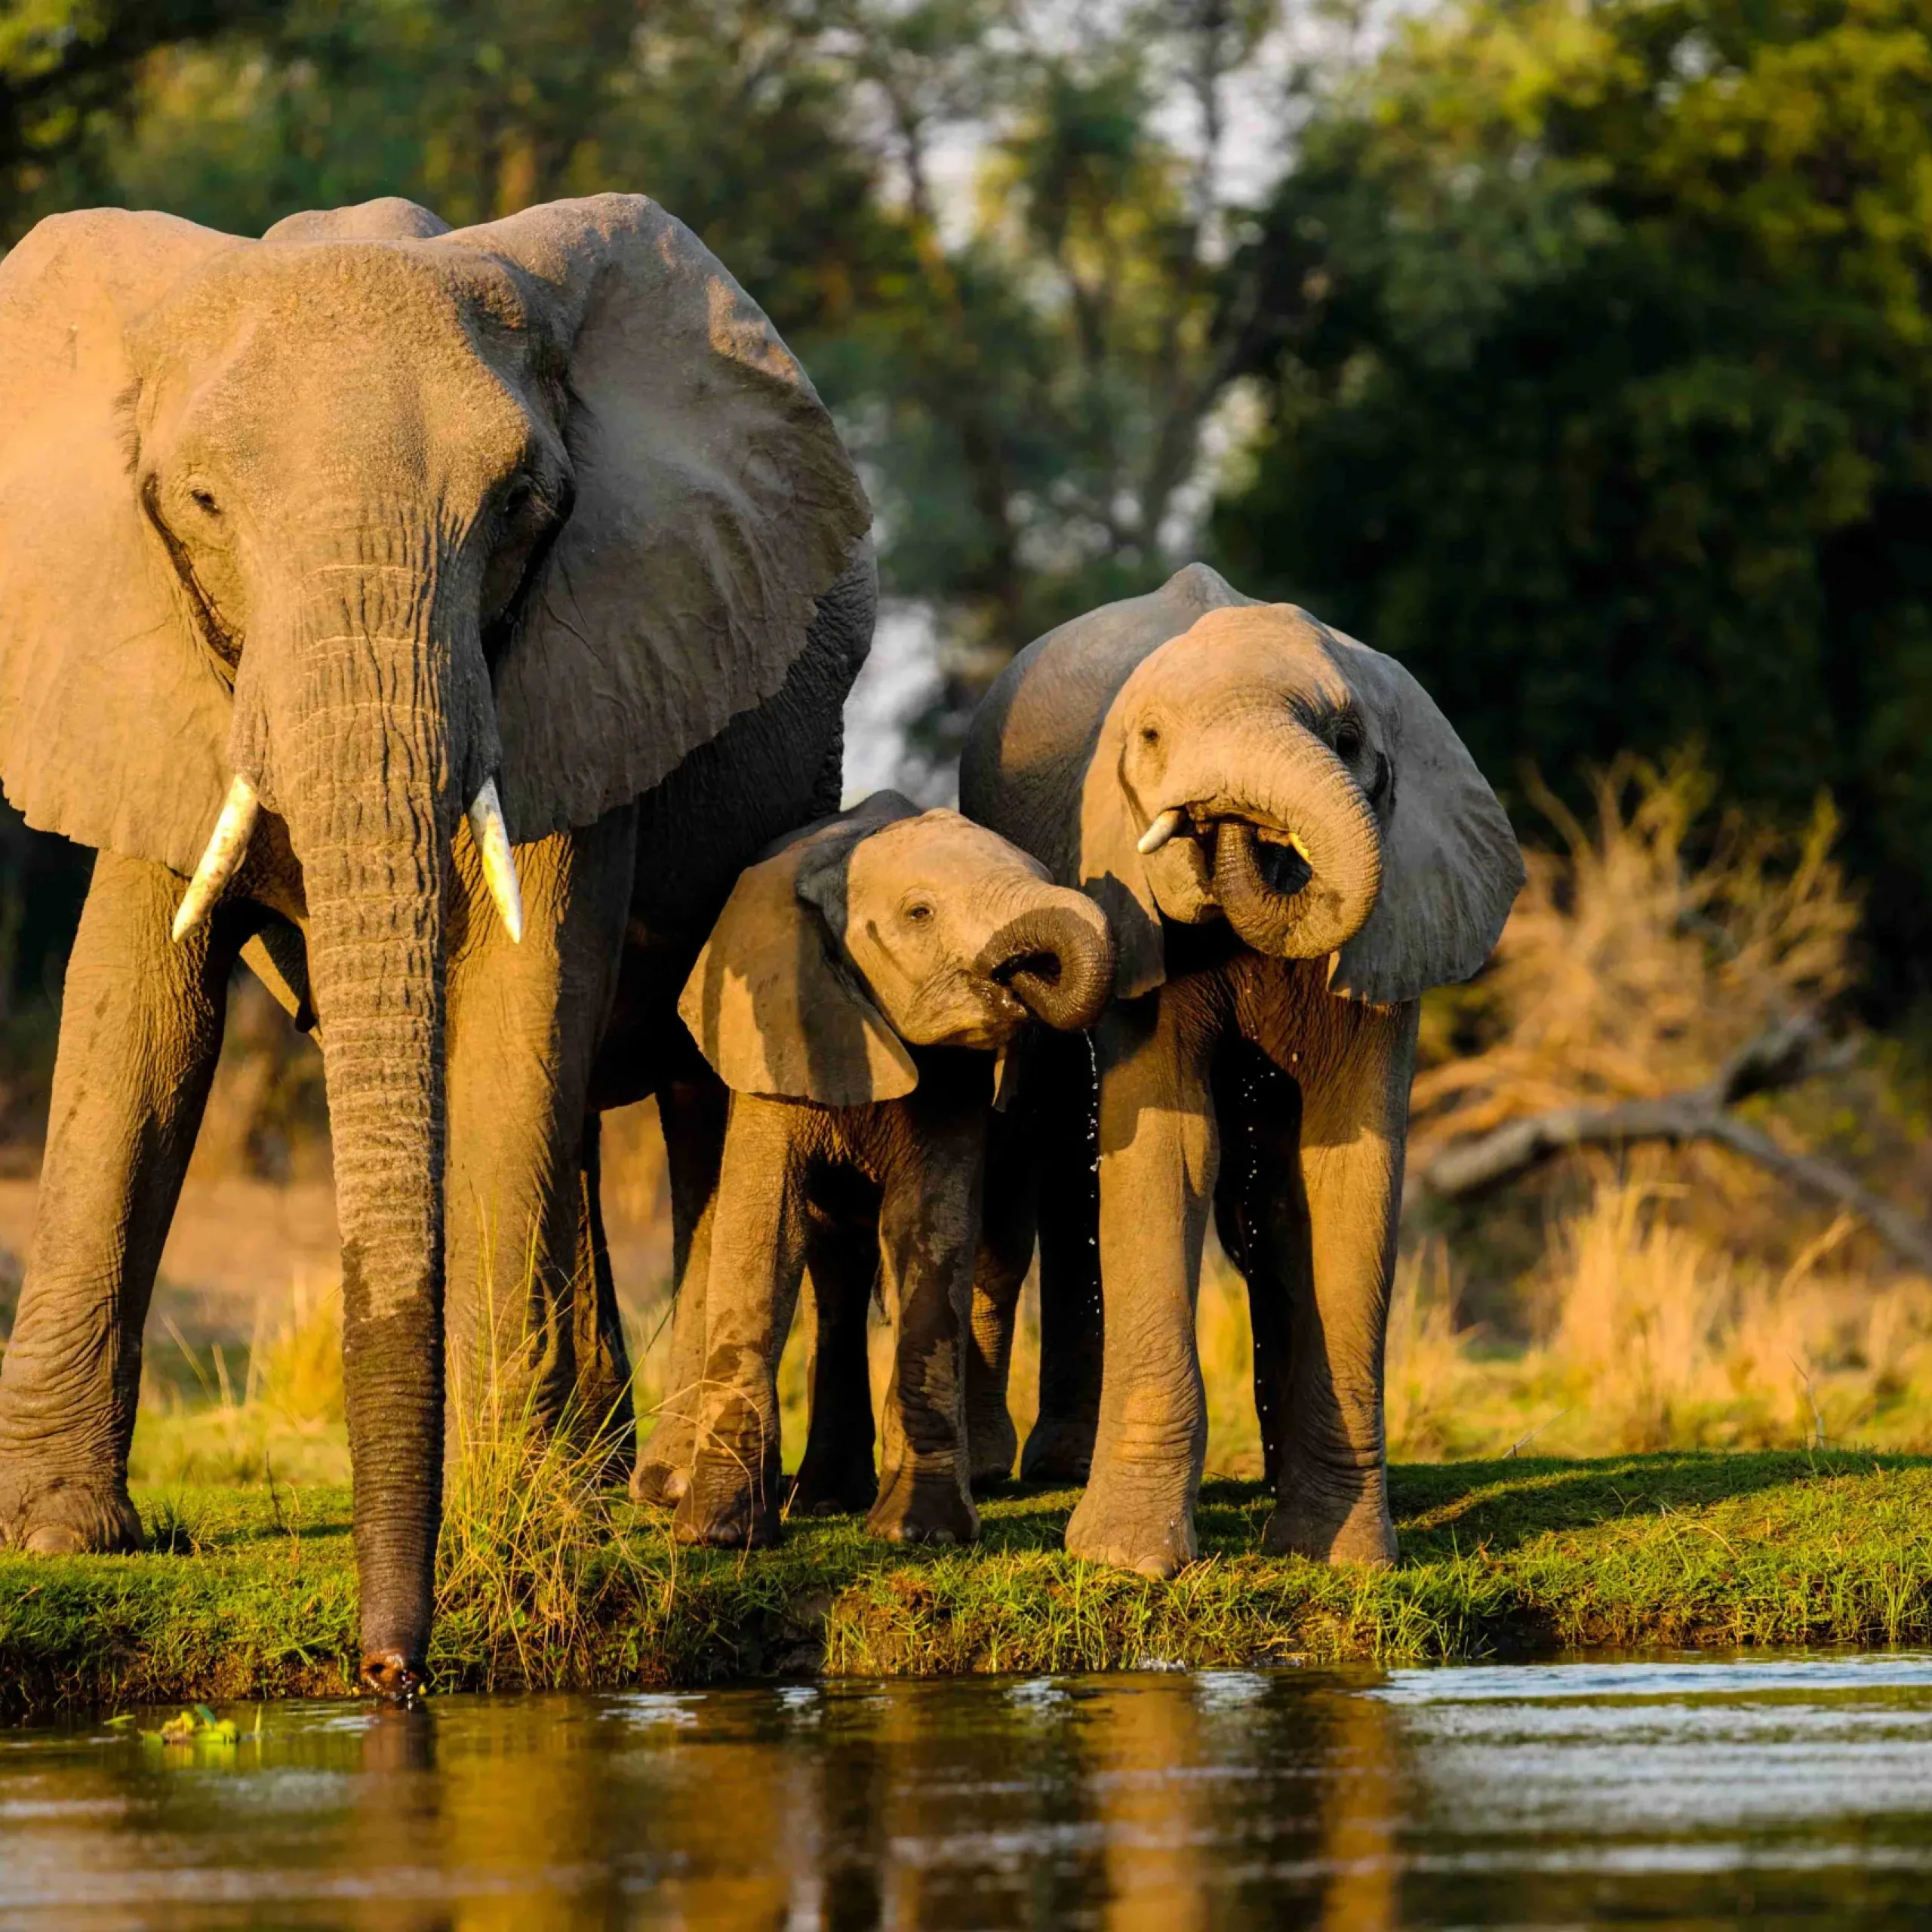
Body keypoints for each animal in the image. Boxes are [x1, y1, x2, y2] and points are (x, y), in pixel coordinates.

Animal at [0, 192, 872, 1693]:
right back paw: (596, 1470)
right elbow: (138, 1025)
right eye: (203, 505)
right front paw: (57, 1539)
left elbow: (524, 999)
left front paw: (510, 1515)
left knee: (696, 1085)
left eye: (522, 506)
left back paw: (656, 1502)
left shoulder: (588, 656)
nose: (387, 1673)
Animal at [666, 791, 1116, 1549]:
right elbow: (763, 1233)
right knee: (837, 1265)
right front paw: (720, 1535)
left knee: (984, 1256)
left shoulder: (955, 1075)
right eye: (920, 914)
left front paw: (919, 1535)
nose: (1026, 975)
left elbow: (928, 1234)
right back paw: (824, 1500)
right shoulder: (775, 1034)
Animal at [958, 563, 1522, 1577]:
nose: (1225, 819)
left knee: (1258, 1204)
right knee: (1046, 1145)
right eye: (1148, 739)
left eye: (1346, 740)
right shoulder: (1127, 903)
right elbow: (1167, 1146)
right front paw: (1127, 1562)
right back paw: (1026, 1470)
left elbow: (1348, 1171)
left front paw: (1340, 1556)